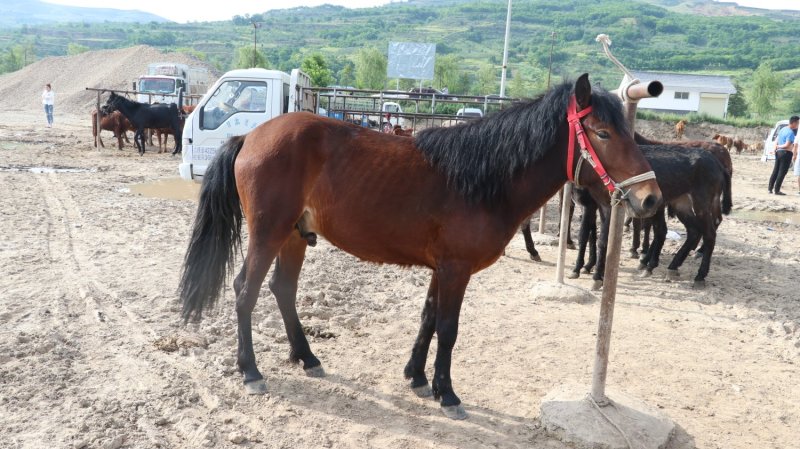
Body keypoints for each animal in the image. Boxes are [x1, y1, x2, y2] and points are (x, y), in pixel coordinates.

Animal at [177, 75, 662, 420]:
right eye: (602, 133)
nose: (650, 198)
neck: (483, 180)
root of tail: (252, 136)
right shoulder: (456, 269)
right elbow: (447, 329)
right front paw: (447, 393)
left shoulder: (441, 268)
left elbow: (428, 319)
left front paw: (416, 377)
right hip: (269, 232)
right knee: (246, 291)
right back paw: (251, 371)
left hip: (295, 236)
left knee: (283, 290)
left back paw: (306, 357)